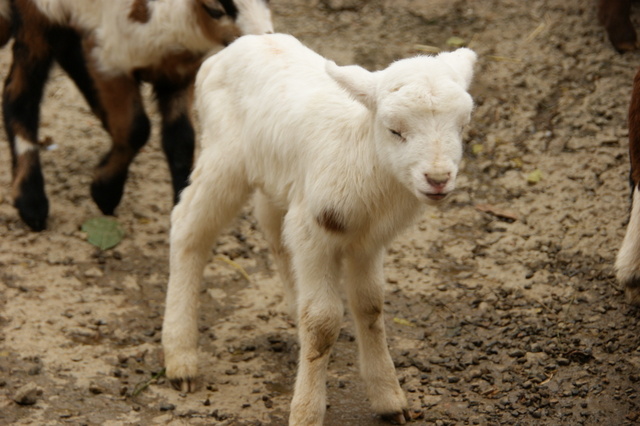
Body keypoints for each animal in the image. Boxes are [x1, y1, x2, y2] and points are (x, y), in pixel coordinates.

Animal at [162, 34, 478, 426]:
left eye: (462, 126)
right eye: (394, 130)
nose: (437, 179)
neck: (365, 158)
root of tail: (253, 37)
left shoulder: (368, 242)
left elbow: (370, 306)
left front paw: (389, 398)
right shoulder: (315, 231)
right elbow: (322, 322)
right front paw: (307, 412)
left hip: (278, 176)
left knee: (272, 227)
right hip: (224, 156)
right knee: (189, 227)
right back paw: (181, 357)